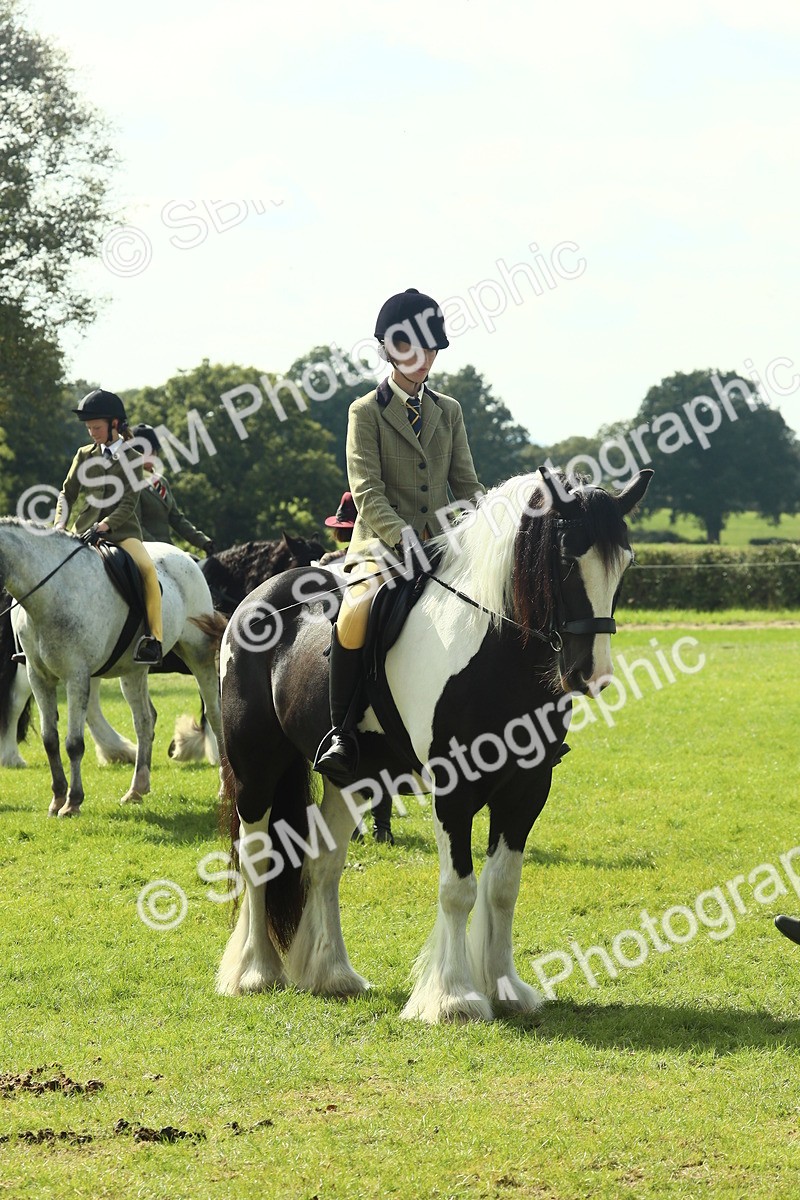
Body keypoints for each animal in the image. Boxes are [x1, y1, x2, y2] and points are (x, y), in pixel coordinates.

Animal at [0, 519, 225, 814]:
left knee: (214, 714)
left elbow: (74, 743)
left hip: (198, 655)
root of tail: (186, 557)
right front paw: (58, 798)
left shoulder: (76, 675)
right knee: (144, 721)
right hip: (134, 671)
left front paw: (73, 802)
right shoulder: (38, 677)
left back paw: (224, 788)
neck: (52, 593)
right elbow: (50, 740)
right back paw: (137, 789)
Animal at [215, 466, 653, 1022]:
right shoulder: (455, 787)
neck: (496, 650)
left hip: (349, 779)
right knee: (257, 859)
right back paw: (254, 973)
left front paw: (506, 988)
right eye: (564, 556)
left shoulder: (528, 787)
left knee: (324, 866)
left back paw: (334, 975)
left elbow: (502, 888)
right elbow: (458, 890)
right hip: (256, 767)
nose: (589, 675)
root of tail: (257, 599)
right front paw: (452, 998)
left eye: (625, 563)